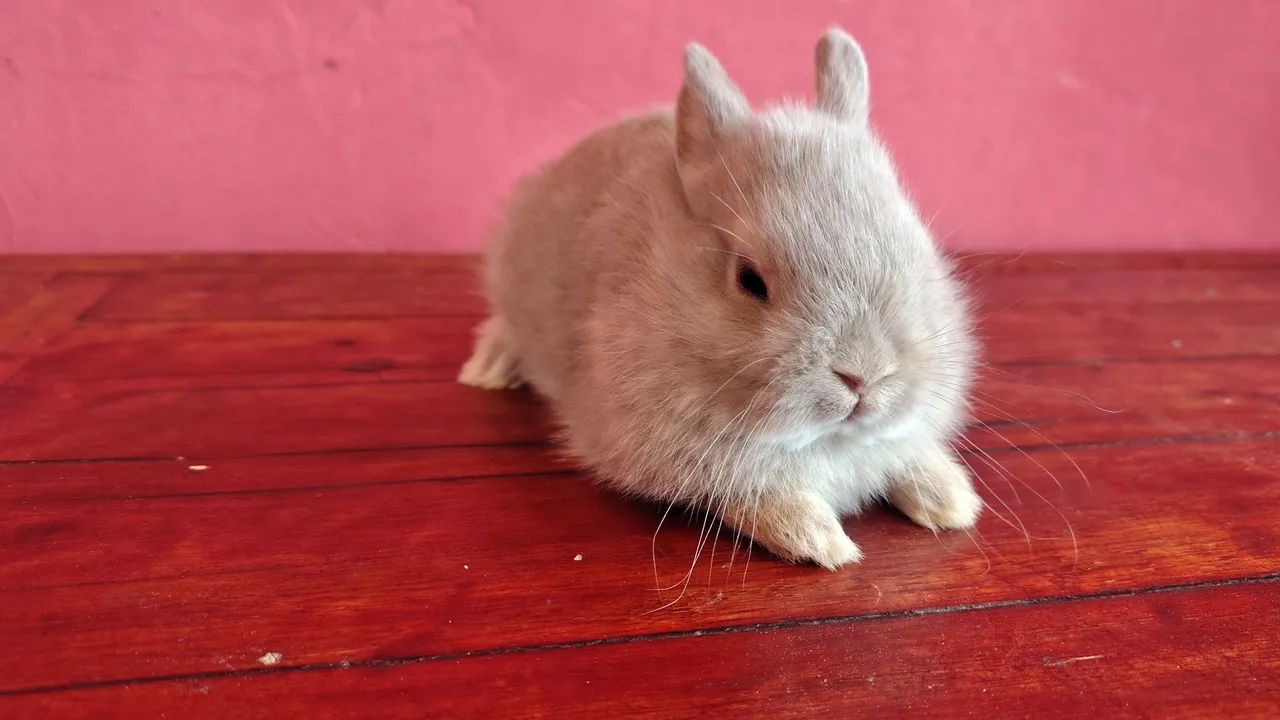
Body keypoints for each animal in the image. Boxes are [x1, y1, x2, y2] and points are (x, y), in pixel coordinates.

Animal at [459, 28, 981, 569]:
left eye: (915, 247)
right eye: (750, 280)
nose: (865, 375)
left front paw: (953, 503)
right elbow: (759, 498)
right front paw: (822, 543)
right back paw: (486, 372)